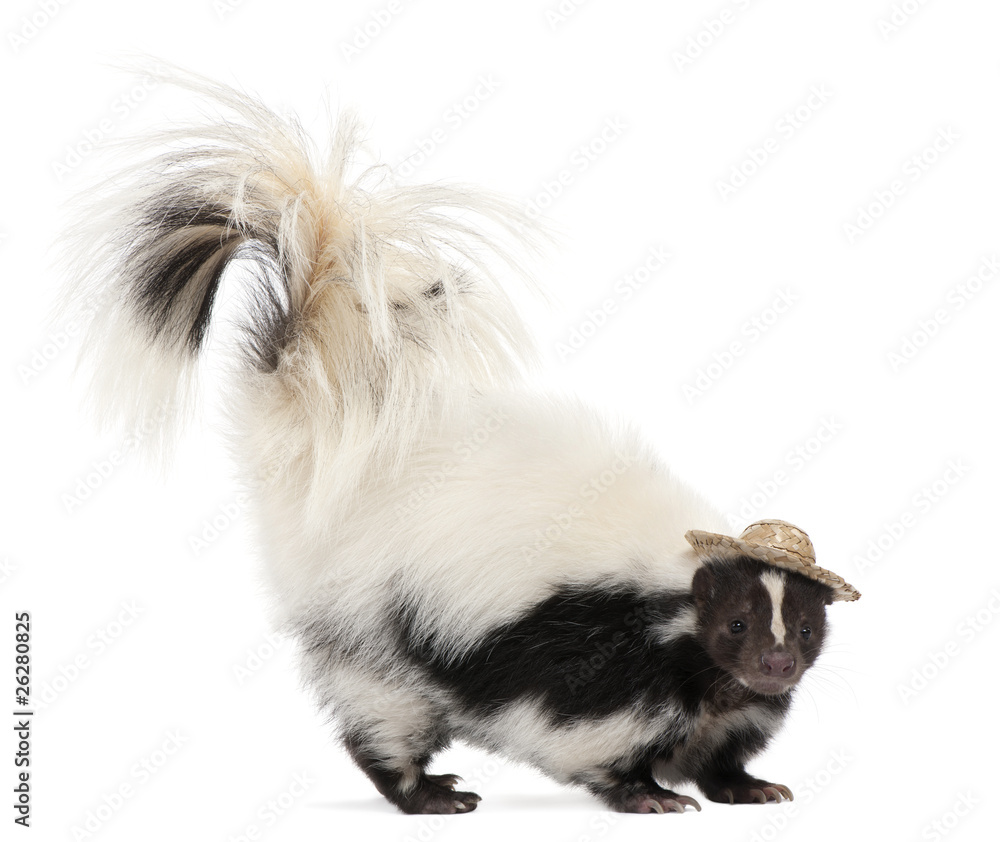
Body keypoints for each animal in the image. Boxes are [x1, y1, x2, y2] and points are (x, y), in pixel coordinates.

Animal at [62, 67, 860, 812]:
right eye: (736, 624)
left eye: (805, 629)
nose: (776, 667)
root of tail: (327, 476)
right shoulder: (592, 653)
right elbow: (591, 733)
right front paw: (647, 793)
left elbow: (723, 747)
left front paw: (746, 785)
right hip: (375, 626)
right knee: (382, 717)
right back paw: (428, 792)